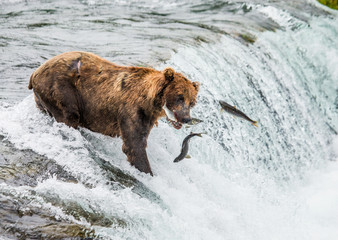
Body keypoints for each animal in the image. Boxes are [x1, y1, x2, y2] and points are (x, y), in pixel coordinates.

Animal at [29, 52, 199, 176]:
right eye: (179, 97)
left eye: (192, 102)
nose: (186, 118)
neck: (150, 101)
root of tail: (35, 72)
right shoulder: (131, 110)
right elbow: (134, 145)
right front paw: (148, 172)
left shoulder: (147, 117)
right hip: (61, 90)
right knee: (69, 116)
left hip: (43, 98)